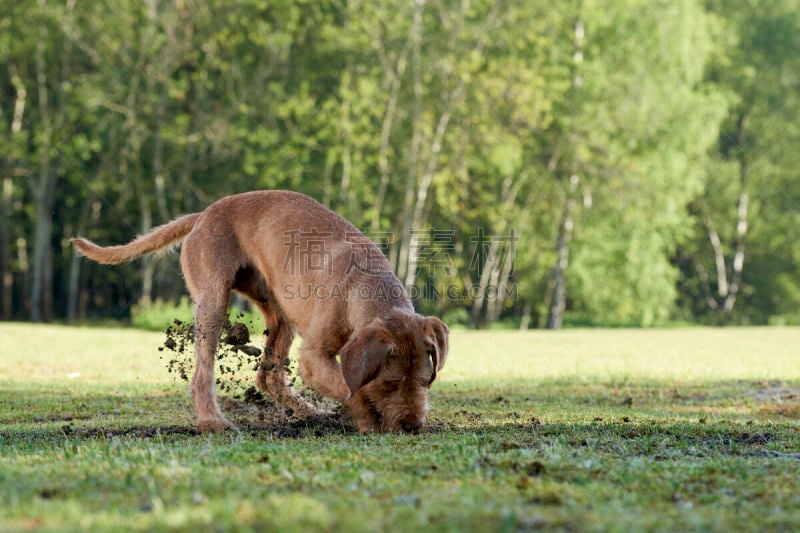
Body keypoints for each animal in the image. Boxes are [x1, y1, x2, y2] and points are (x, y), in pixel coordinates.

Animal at [72, 191, 446, 432]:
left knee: (268, 376)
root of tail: (203, 215)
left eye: (426, 380)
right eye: (389, 384)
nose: (414, 426)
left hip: (280, 312)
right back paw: (213, 421)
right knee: (202, 374)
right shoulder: (314, 358)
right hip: (212, 303)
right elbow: (347, 386)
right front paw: (366, 419)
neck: (365, 287)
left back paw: (308, 412)